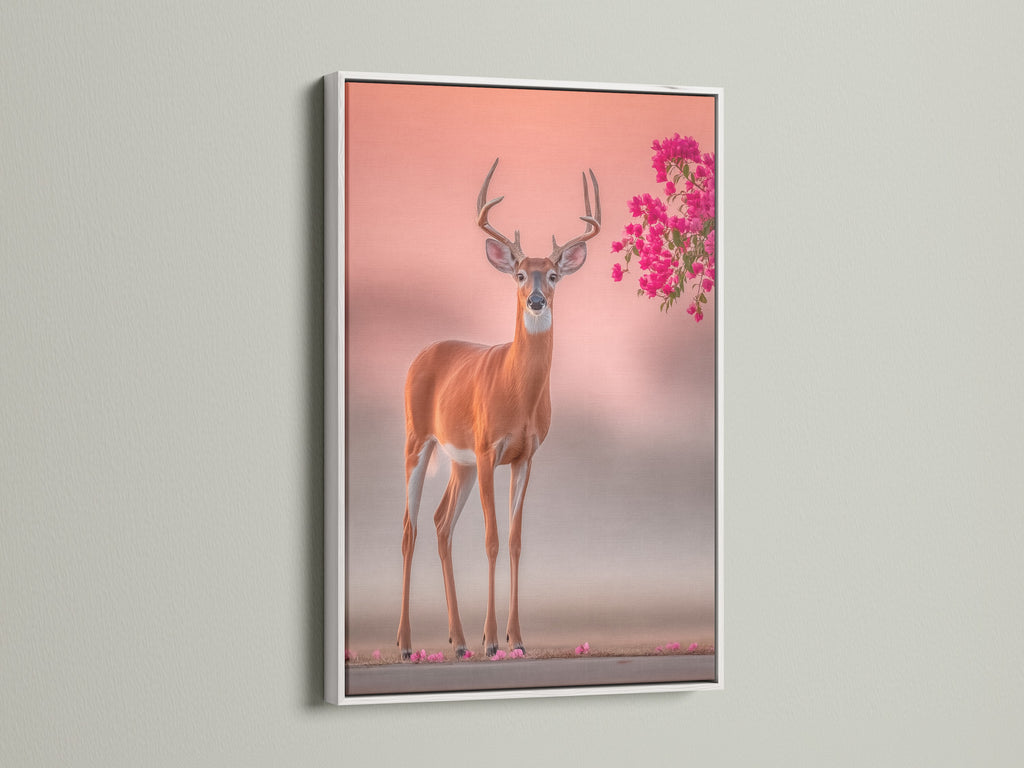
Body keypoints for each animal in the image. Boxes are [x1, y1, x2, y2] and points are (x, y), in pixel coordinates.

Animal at [397, 158, 600, 660]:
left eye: (553, 274)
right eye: (519, 274)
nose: (536, 300)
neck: (517, 392)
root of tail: (419, 355)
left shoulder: (524, 456)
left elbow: (513, 541)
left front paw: (517, 639)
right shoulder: (490, 448)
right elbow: (489, 540)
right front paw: (493, 639)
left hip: (460, 462)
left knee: (440, 524)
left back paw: (458, 641)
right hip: (418, 440)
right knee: (410, 529)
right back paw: (408, 644)